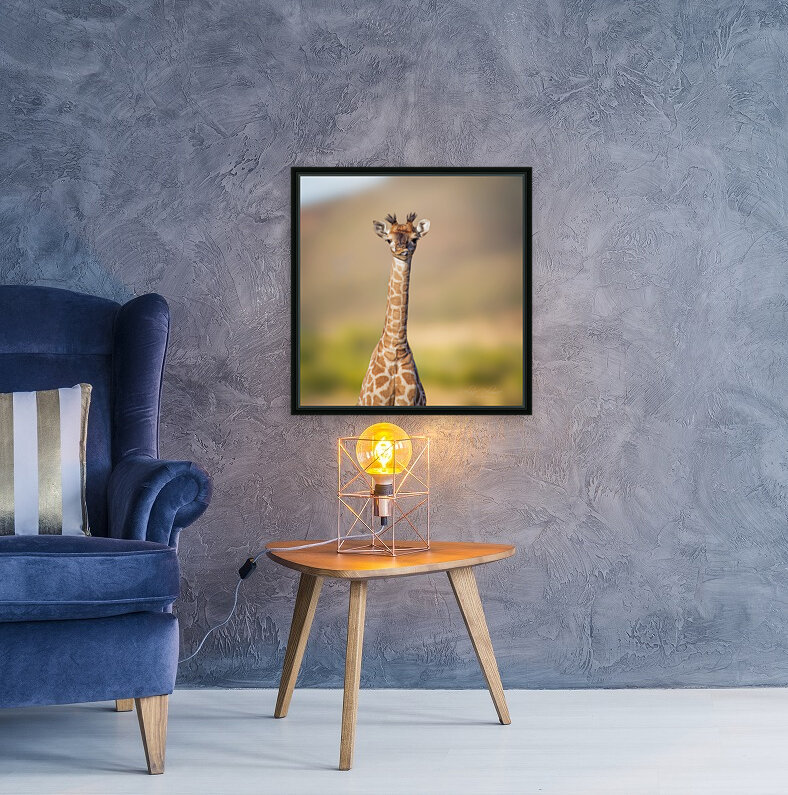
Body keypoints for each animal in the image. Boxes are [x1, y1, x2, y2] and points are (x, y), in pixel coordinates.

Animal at [358, 211, 430, 407]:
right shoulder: (376, 402)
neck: (396, 348)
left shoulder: (408, 402)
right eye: (388, 239)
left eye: (414, 238)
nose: (401, 251)